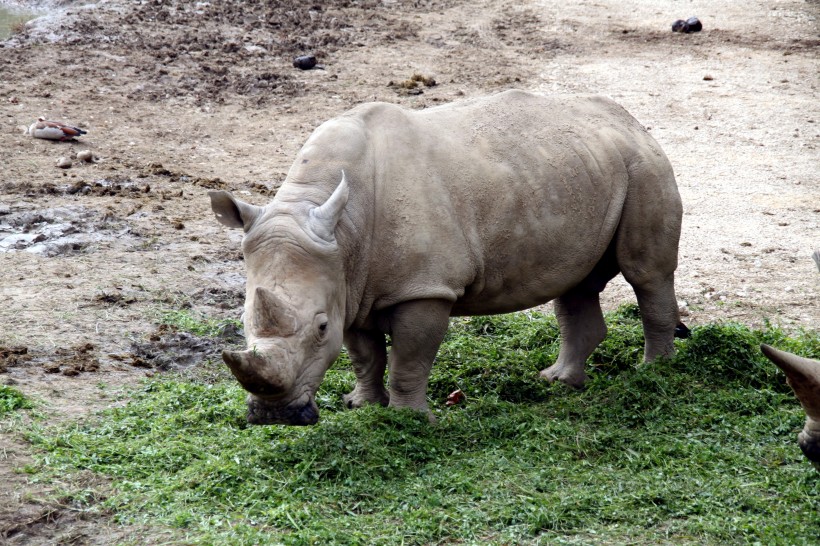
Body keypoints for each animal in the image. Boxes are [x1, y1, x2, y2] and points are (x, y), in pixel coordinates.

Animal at [208, 89, 684, 422]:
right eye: (243, 323)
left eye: (320, 328)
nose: (274, 417)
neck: (341, 230)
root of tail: (629, 119)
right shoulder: (350, 283)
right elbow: (365, 355)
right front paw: (362, 405)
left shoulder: (424, 287)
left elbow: (409, 357)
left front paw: (408, 420)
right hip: (582, 168)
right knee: (574, 282)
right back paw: (559, 382)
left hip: (643, 165)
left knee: (646, 274)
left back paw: (652, 372)